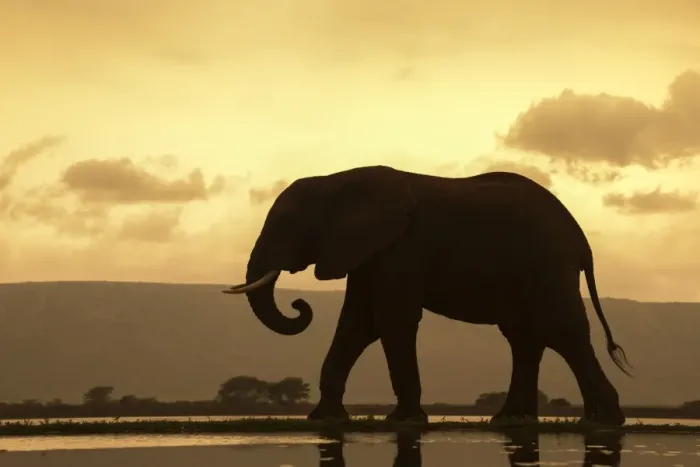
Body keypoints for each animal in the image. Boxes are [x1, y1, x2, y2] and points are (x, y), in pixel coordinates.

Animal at [223, 165, 632, 425]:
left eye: (287, 224)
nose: (299, 305)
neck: (337, 179)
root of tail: (581, 238)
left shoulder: (401, 247)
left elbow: (390, 320)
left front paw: (404, 420)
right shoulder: (369, 253)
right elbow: (357, 324)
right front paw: (325, 419)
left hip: (547, 261)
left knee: (560, 329)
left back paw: (606, 420)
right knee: (525, 336)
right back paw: (510, 419)